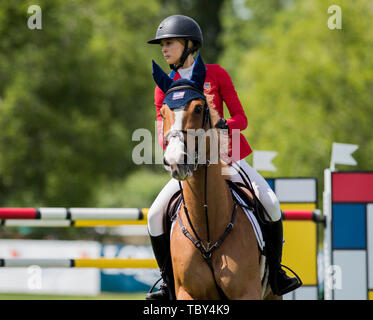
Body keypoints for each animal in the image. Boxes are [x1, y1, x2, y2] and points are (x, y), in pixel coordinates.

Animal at [150, 54, 280, 300]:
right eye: (162, 112)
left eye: (199, 108)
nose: (175, 160)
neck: (207, 233)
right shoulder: (187, 293)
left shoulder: (247, 292)